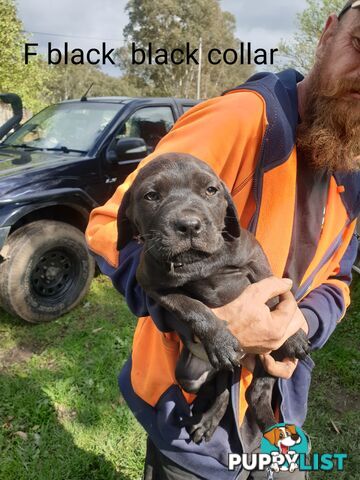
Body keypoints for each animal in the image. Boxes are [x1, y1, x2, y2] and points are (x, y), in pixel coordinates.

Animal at [116, 153, 310, 442]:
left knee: (256, 392)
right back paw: (209, 420)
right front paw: (220, 341)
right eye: (151, 196)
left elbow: (274, 294)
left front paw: (293, 335)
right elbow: (192, 307)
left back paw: (273, 427)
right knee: (223, 389)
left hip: (270, 358)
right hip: (191, 376)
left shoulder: (254, 258)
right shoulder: (155, 287)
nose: (189, 225)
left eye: (210, 190)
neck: (200, 263)